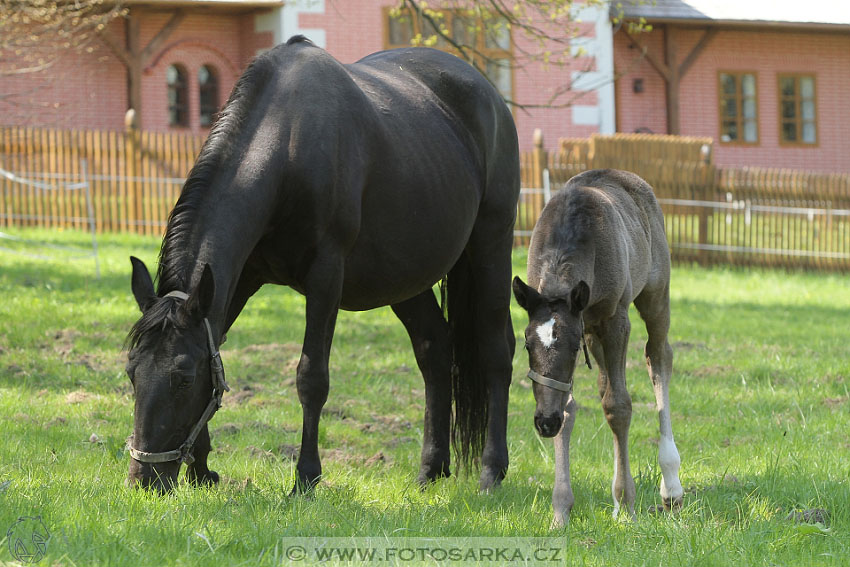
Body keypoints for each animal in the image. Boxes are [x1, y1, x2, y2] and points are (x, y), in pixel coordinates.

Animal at [121, 37, 512, 494]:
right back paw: (430, 470)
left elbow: (311, 377)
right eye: (132, 371)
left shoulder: (326, 277)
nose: (143, 479)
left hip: (491, 248)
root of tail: (486, 90)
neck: (289, 141)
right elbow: (215, 344)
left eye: (182, 377)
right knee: (435, 350)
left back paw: (491, 472)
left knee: (496, 351)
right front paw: (201, 470)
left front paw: (305, 477)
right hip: (405, 278)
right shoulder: (237, 280)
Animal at [510, 170, 684, 528]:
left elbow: (619, 406)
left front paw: (627, 504)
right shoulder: (585, 328)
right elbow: (569, 407)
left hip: (654, 297)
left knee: (659, 357)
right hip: (595, 333)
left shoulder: (615, 321)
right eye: (526, 343)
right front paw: (560, 511)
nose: (544, 423)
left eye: (572, 346)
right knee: (606, 384)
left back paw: (671, 487)